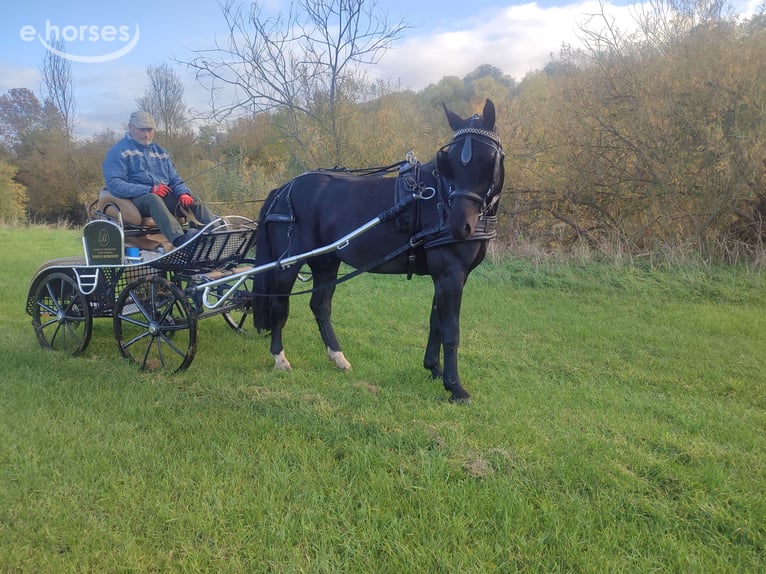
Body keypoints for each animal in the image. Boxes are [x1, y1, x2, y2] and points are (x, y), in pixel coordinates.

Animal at [252, 99, 504, 402]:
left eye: (488, 160)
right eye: (450, 162)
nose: (458, 226)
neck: (441, 197)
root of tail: (284, 188)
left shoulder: (448, 276)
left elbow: (435, 321)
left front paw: (433, 369)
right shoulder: (450, 273)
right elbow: (450, 330)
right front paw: (455, 387)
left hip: (325, 261)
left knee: (320, 305)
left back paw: (338, 357)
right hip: (289, 262)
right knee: (279, 304)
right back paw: (280, 358)